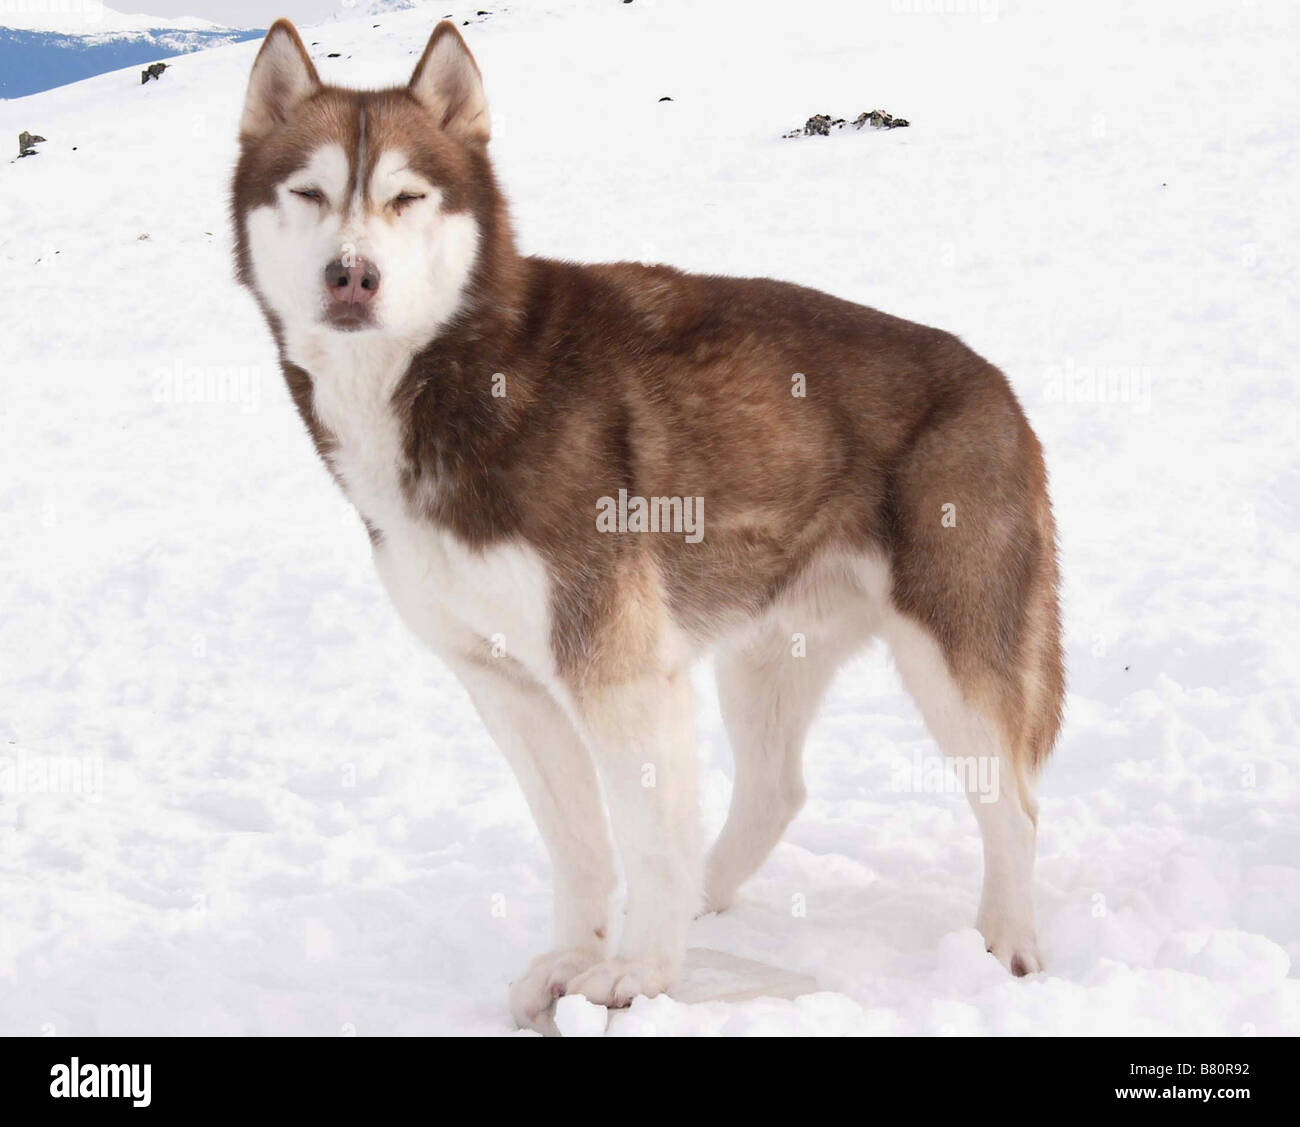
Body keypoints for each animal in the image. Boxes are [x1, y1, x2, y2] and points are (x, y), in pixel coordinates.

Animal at [236, 22, 1066, 1034]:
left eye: (406, 195)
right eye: (308, 192)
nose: (352, 275)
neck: (454, 380)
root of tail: (997, 382)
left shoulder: (616, 668)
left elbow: (640, 836)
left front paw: (639, 972)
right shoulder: (504, 678)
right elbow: (581, 845)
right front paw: (577, 956)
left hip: (955, 650)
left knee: (1013, 802)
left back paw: (1009, 945)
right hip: (766, 653)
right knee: (775, 789)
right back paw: (706, 897)